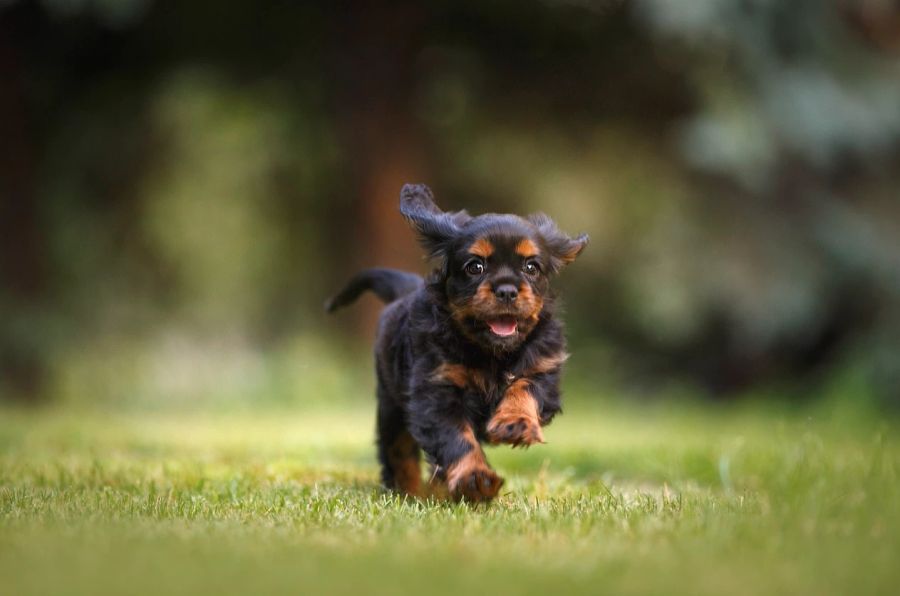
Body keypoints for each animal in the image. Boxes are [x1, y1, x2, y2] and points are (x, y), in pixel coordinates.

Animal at [326, 184, 588, 500]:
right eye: (475, 267)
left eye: (531, 267)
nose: (507, 290)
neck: (492, 352)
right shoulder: (436, 391)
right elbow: (456, 438)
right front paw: (475, 479)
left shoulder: (544, 370)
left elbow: (524, 388)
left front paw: (514, 422)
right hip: (391, 407)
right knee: (398, 453)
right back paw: (410, 492)